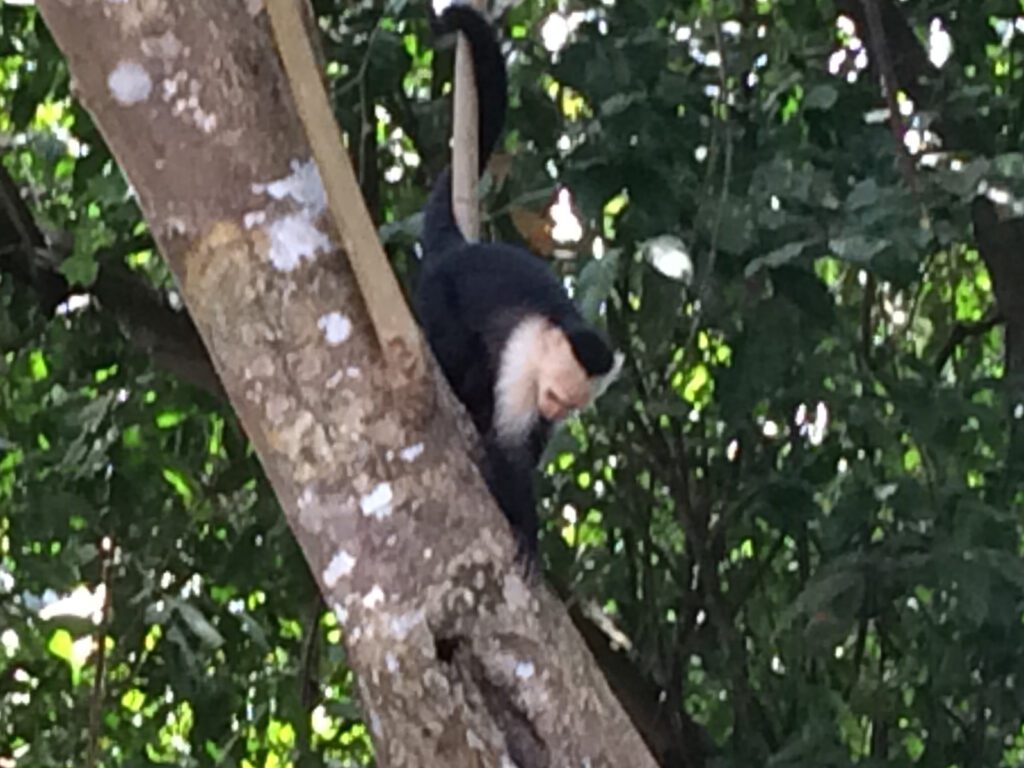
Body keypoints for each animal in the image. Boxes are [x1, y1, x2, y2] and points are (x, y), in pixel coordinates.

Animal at [416, 3, 622, 568]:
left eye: (568, 407)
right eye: (554, 393)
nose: (552, 408)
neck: (559, 328)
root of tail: (462, 249)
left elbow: (528, 448)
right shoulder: (525, 356)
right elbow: (509, 448)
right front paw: (527, 530)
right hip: (437, 293)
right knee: (458, 353)